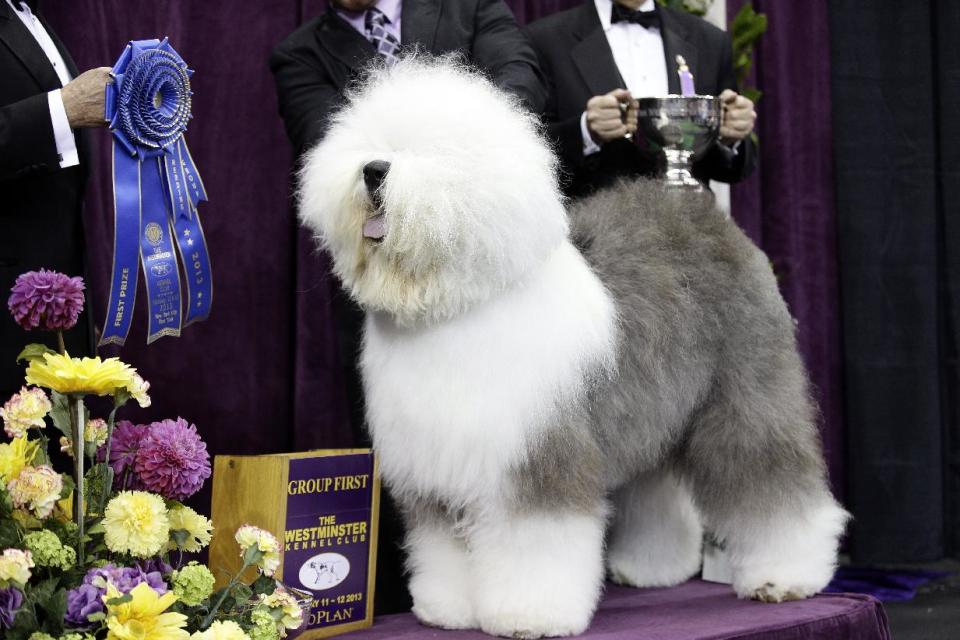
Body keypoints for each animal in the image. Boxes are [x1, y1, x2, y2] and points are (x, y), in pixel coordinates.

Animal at [300, 57, 848, 636]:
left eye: (437, 152)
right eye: (370, 143)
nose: (373, 170)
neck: (453, 308)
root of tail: (705, 219)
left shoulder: (538, 451)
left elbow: (535, 540)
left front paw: (528, 614)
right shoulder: (438, 465)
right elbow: (444, 544)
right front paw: (447, 608)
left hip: (745, 395)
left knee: (770, 479)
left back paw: (787, 575)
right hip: (648, 412)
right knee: (655, 489)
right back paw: (652, 569)